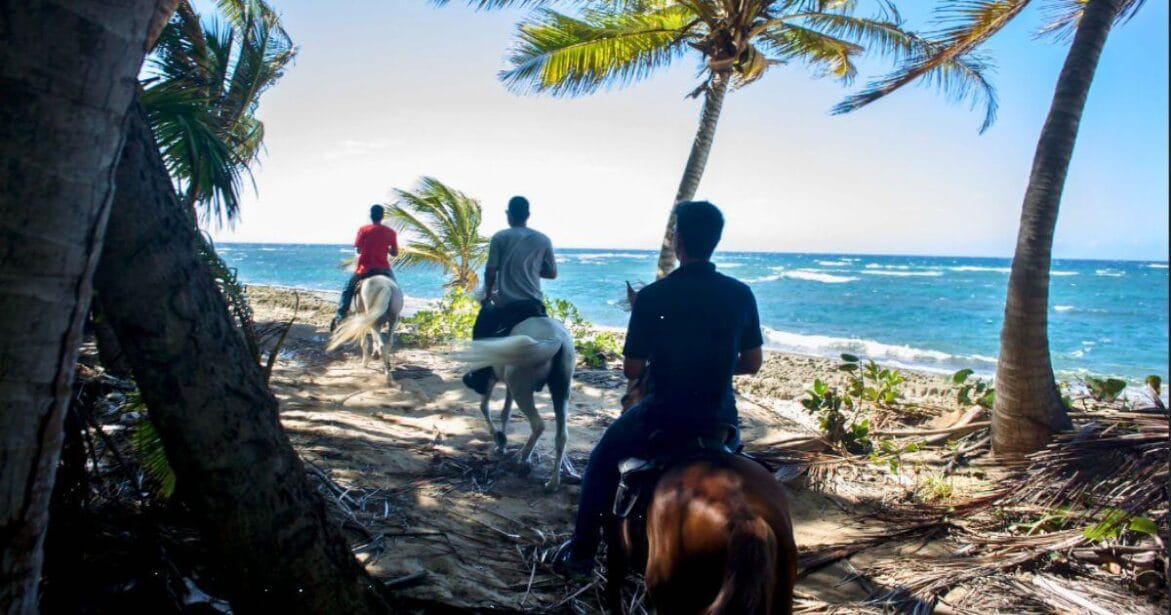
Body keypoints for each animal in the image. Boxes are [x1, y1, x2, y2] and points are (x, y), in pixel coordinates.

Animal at [461, 316, 580, 489]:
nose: (466, 379)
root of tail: (556, 338)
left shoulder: (494, 380)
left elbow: (485, 407)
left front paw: (500, 439)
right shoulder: (506, 386)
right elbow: (505, 412)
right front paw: (502, 441)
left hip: (520, 388)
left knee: (538, 425)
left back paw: (522, 457)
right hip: (560, 390)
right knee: (562, 435)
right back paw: (553, 482)